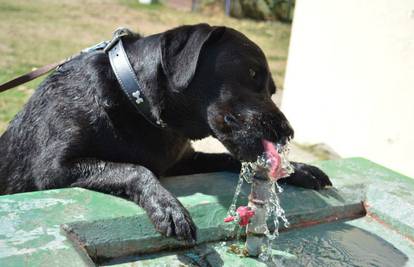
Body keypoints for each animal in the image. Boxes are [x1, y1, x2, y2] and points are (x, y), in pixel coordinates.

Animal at [0, 24, 330, 243]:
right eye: (251, 73)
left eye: (273, 90)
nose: (288, 132)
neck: (135, 101)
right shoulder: (55, 168)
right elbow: (135, 169)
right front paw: (168, 207)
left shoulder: (184, 161)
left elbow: (231, 159)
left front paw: (298, 169)